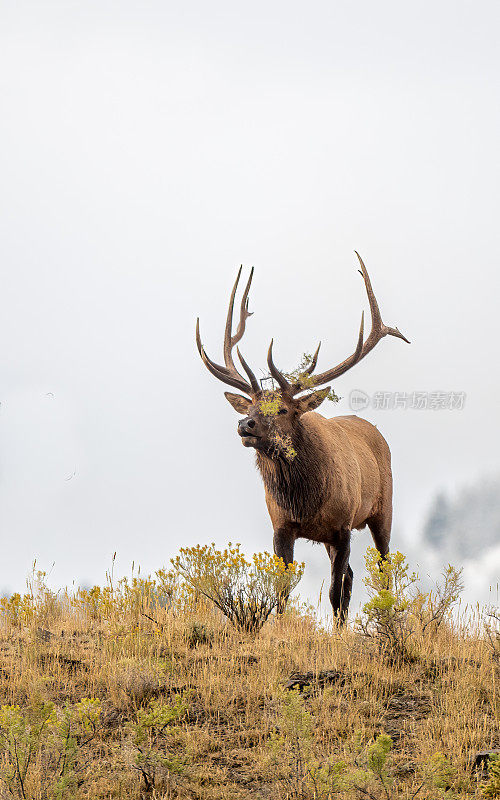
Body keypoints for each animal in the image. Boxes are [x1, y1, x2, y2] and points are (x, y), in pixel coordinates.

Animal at [195, 253, 410, 620]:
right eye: (251, 406)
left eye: (282, 409)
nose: (245, 425)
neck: (305, 499)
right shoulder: (281, 527)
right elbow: (281, 593)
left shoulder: (343, 527)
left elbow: (335, 592)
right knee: (353, 576)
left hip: (384, 509)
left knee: (383, 571)